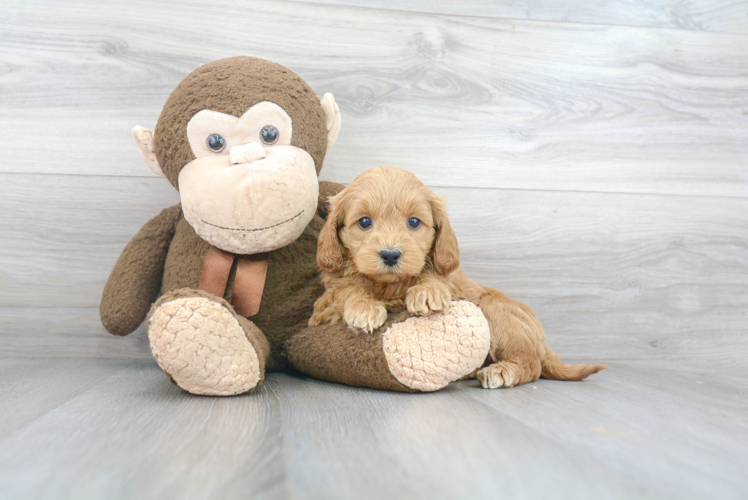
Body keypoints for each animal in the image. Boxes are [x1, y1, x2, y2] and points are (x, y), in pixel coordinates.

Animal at [310, 166, 608, 388]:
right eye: (364, 222)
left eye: (414, 222)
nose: (391, 255)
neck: (390, 286)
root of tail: (543, 344)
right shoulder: (328, 298)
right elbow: (347, 290)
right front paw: (364, 308)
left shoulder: (449, 277)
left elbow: (435, 278)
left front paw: (427, 292)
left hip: (497, 311)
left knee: (531, 366)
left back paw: (500, 372)